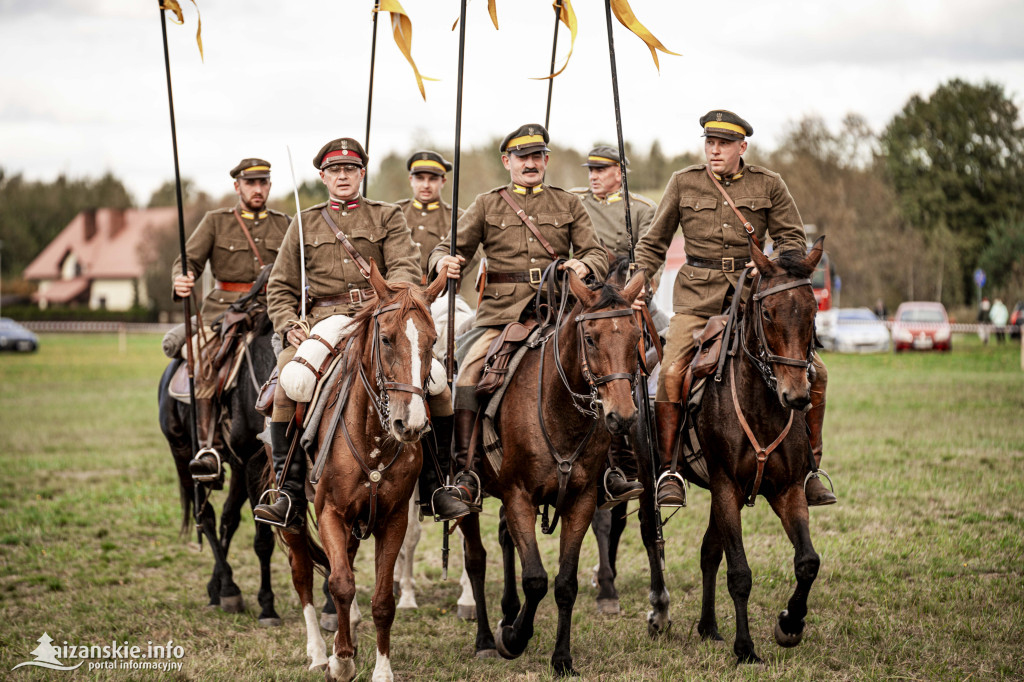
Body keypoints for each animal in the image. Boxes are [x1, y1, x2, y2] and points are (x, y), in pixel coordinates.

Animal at [278, 260, 446, 679]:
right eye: (385, 339)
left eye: (433, 341)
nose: (411, 424)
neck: (371, 437)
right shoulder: (330, 513)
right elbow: (339, 583)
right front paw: (341, 661)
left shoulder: (393, 518)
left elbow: (383, 598)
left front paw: (381, 668)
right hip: (293, 519)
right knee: (303, 573)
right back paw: (319, 652)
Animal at [462, 266, 643, 675]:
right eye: (590, 338)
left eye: (636, 336)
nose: (622, 417)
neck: (557, 408)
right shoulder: (519, 497)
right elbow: (535, 579)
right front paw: (513, 638)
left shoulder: (581, 501)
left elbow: (564, 583)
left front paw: (561, 658)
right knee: (475, 559)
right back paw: (485, 639)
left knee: (504, 539)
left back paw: (508, 613)